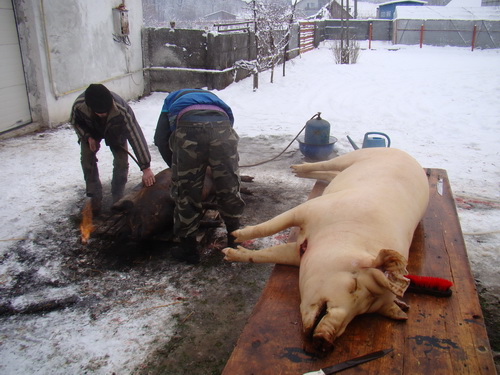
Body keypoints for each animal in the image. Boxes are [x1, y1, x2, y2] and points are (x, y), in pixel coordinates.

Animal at [223, 148, 430, 356]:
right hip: (360, 155)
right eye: (354, 285)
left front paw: (229, 253)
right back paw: (296, 168)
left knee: (331, 174)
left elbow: (267, 254)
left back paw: (297, 172)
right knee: (329, 164)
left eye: (363, 311)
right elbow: (270, 225)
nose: (326, 341)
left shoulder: (297, 254)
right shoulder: (311, 209)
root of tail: (409, 157)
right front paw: (235, 236)